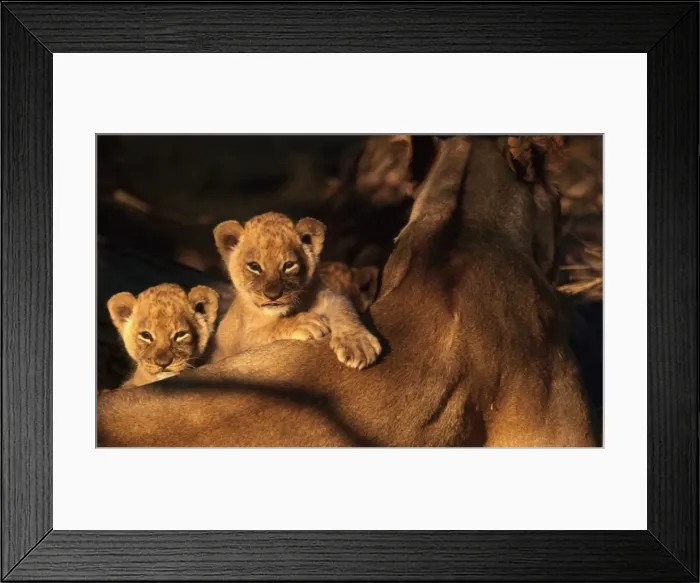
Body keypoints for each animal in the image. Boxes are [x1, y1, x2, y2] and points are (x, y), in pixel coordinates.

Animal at [210, 212, 382, 370]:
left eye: (288, 265)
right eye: (254, 266)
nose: (273, 296)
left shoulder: (326, 295)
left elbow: (343, 307)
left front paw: (358, 344)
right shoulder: (233, 343)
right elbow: (264, 331)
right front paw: (305, 323)